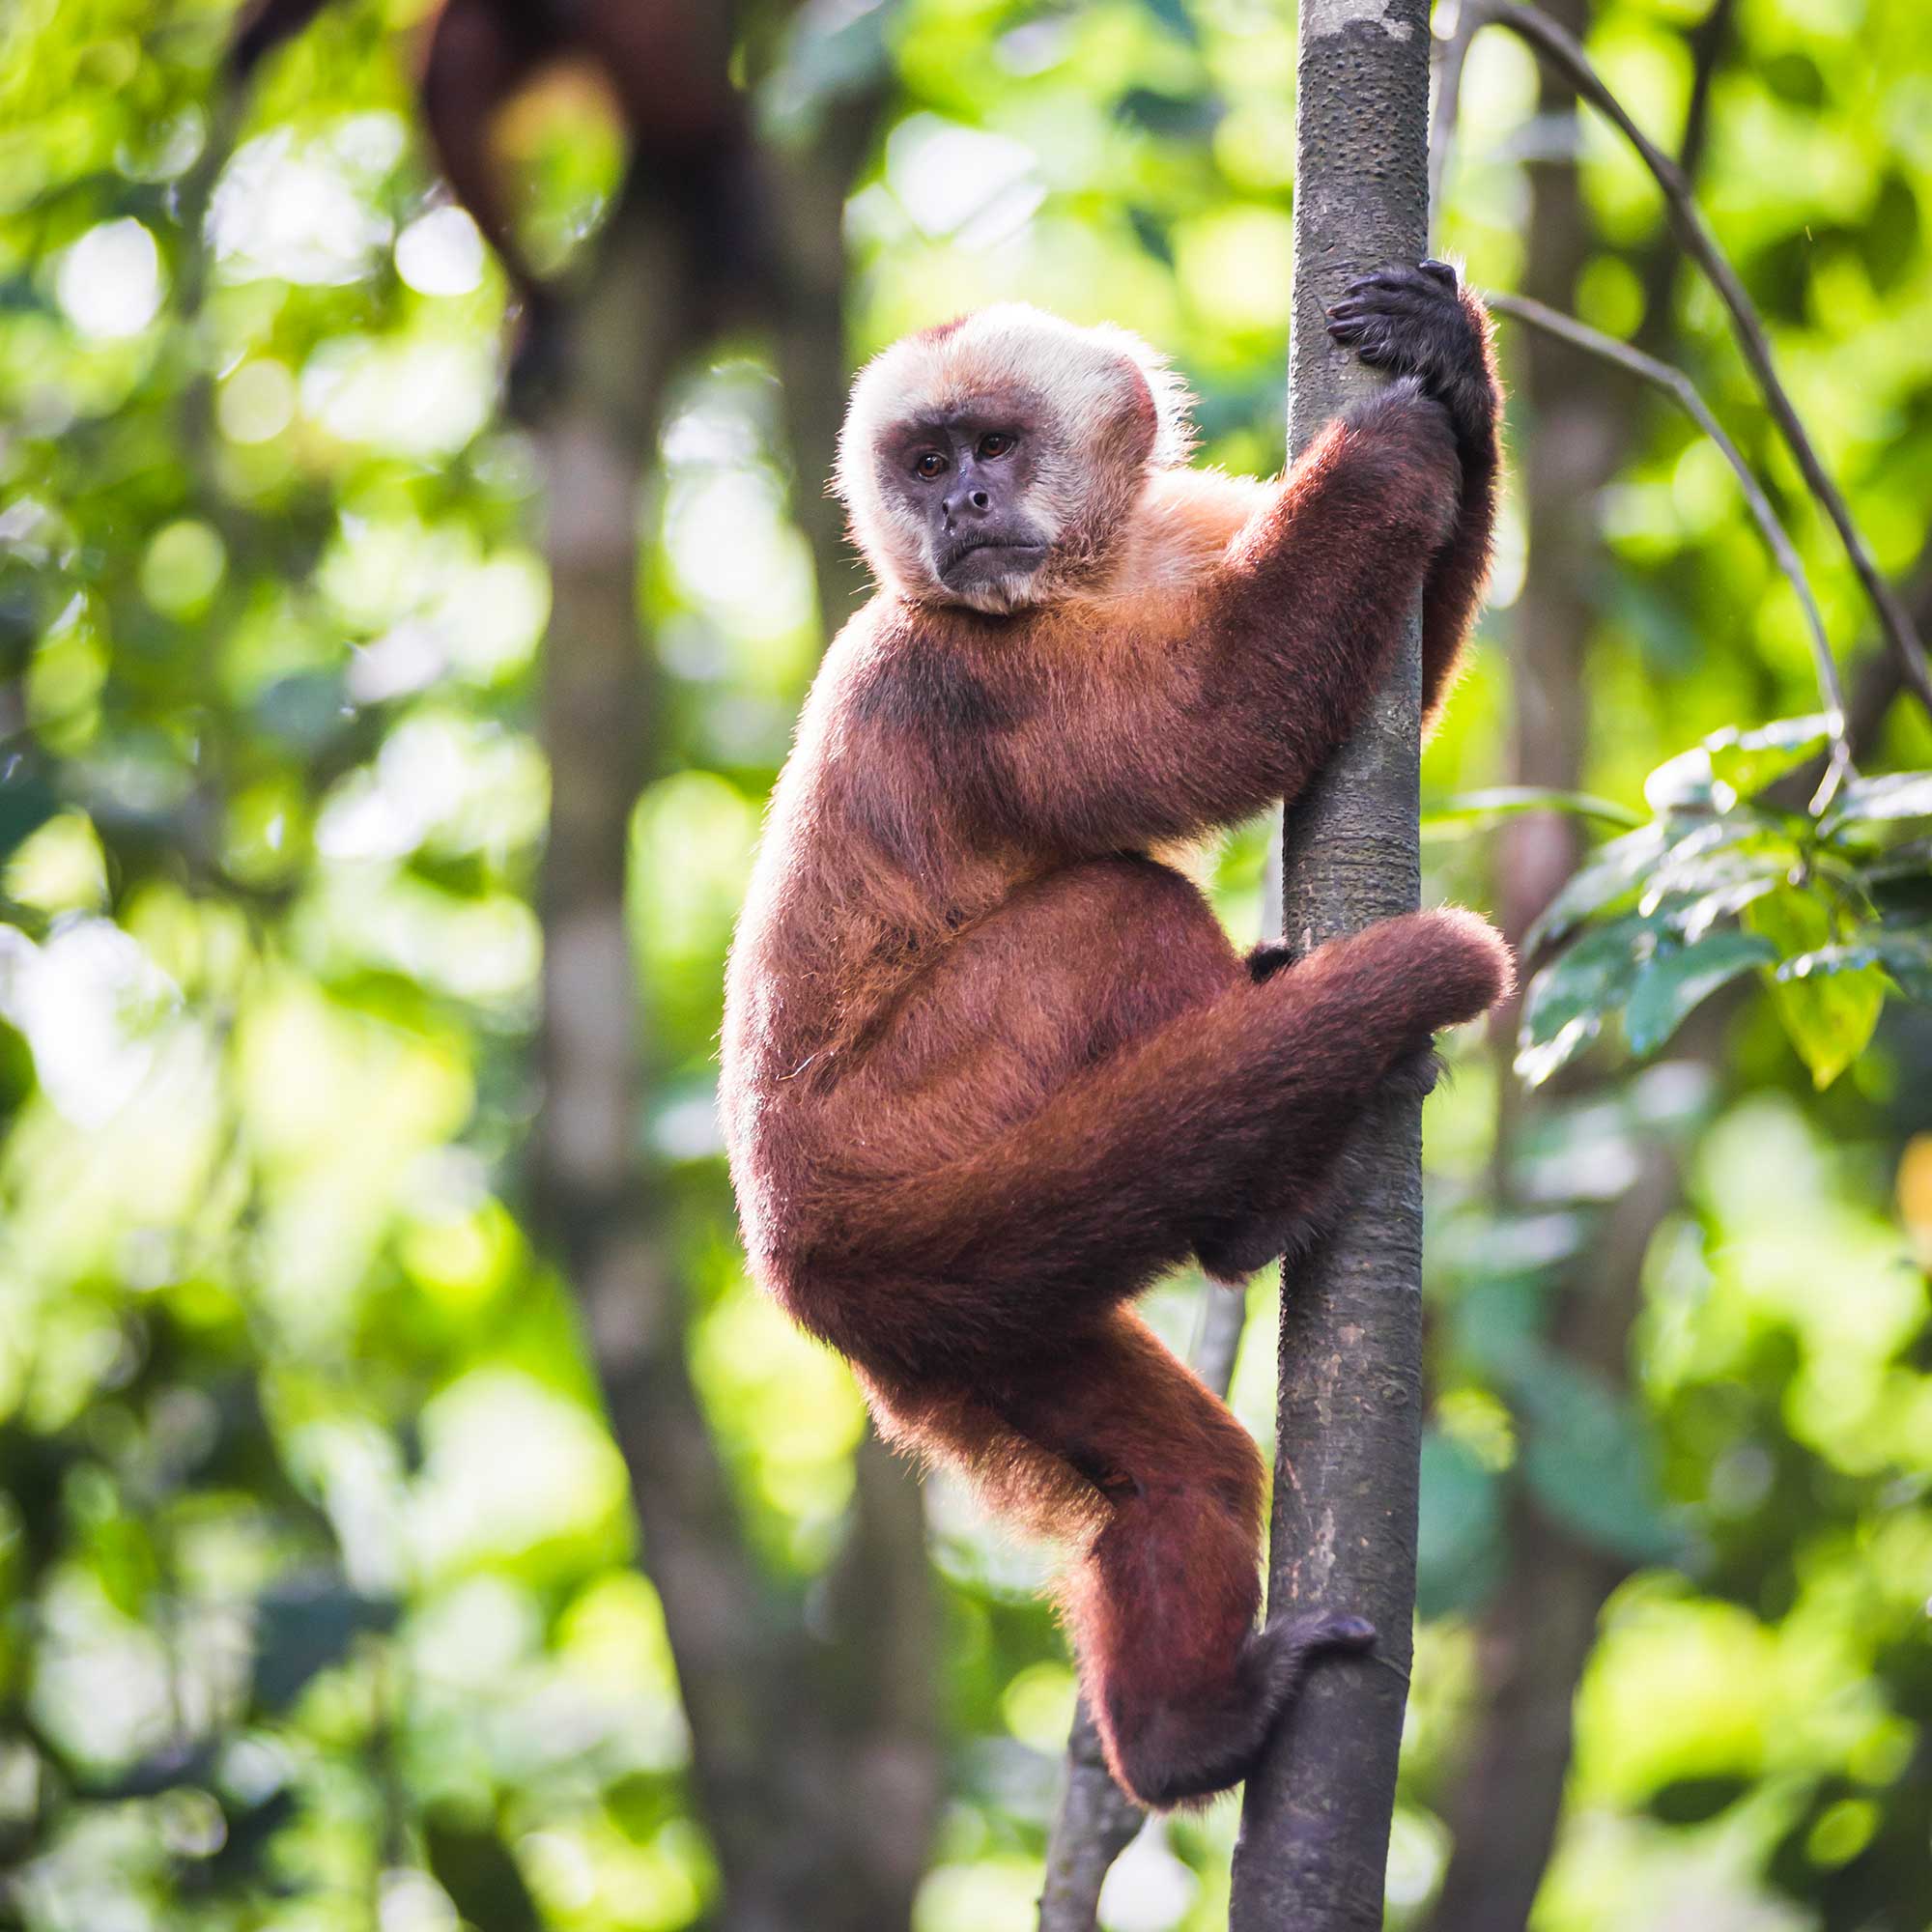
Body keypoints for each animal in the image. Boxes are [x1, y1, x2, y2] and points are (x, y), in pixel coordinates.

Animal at [720, 261, 1511, 1809]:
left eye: (990, 446)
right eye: (923, 465)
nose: (962, 506)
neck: (1084, 580)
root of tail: (789, 1238)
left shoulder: (1177, 529)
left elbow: (1390, 671)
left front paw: (1451, 366)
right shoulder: (960, 672)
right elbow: (1225, 722)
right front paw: (1391, 452)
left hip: (957, 1328)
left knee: (1175, 1470)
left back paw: (1180, 1731)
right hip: (892, 1128)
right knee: (1118, 912)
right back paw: (1256, 1210)